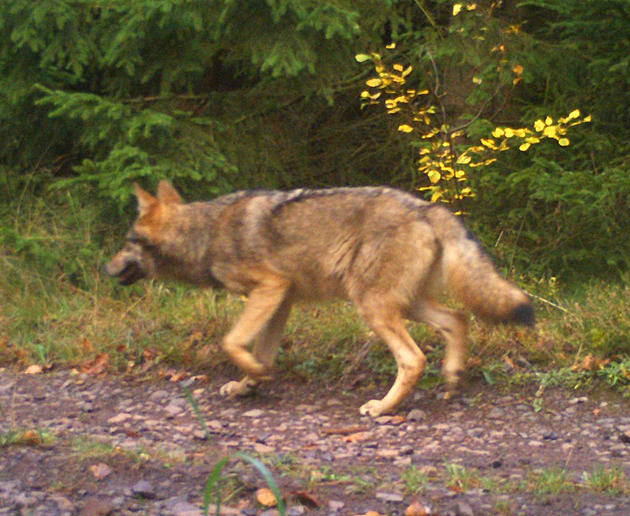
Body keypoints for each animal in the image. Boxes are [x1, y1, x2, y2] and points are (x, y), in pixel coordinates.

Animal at [106, 180, 536, 416]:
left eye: (127, 241)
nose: (105, 268)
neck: (205, 233)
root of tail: (426, 206)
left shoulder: (270, 288)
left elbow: (231, 342)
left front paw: (254, 376)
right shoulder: (281, 300)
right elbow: (259, 351)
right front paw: (249, 384)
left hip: (373, 307)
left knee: (414, 359)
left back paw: (383, 408)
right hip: (403, 304)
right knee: (458, 320)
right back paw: (452, 379)